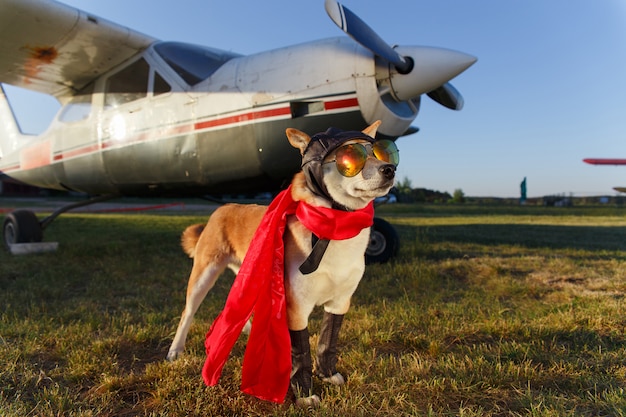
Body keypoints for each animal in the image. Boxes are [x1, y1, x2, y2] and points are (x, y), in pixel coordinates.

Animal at [167, 121, 394, 406]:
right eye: (349, 158)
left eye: (380, 154)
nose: (390, 169)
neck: (335, 229)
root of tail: (222, 208)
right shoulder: (296, 307)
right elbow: (300, 354)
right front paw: (305, 395)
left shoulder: (341, 301)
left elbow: (327, 341)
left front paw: (328, 374)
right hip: (203, 276)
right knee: (187, 313)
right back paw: (176, 350)